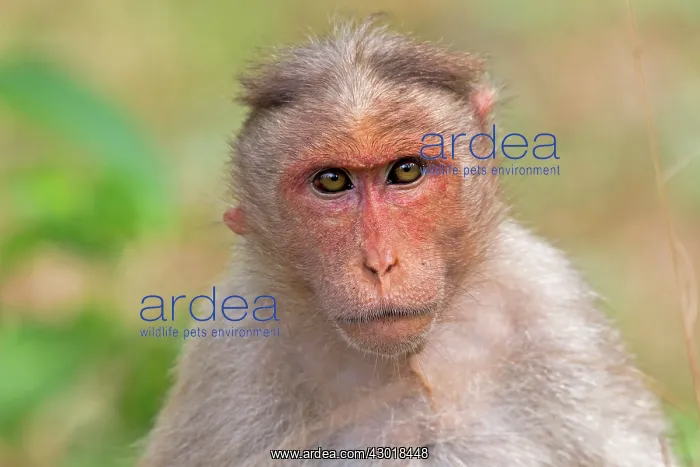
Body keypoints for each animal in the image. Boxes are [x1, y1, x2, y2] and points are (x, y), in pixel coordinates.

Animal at [138, 19, 677, 467]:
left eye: (405, 171)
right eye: (332, 182)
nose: (380, 263)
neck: (410, 360)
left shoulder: (554, 310)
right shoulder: (233, 356)